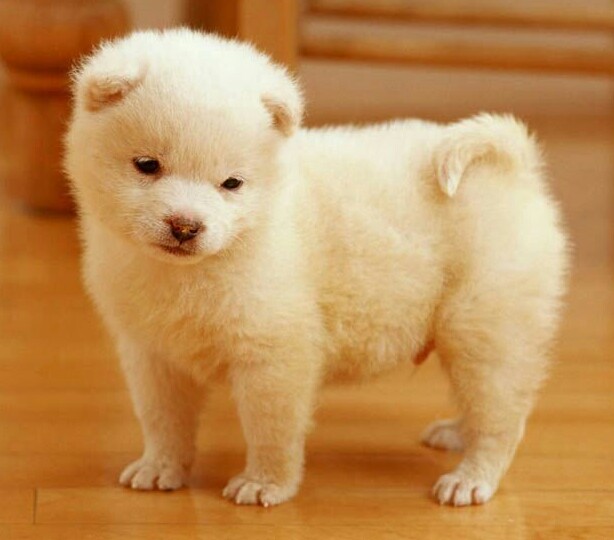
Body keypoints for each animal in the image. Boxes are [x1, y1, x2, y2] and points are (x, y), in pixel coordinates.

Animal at [65, 28, 568, 507]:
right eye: (147, 165)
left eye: (231, 183)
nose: (185, 226)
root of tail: (516, 170)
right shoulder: (153, 353)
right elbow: (162, 420)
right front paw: (161, 467)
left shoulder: (274, 354)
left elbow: (271, 429)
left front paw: (265, 484)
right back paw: (456, 434)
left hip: (485, 326)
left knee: (501, 417)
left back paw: (471, 478)